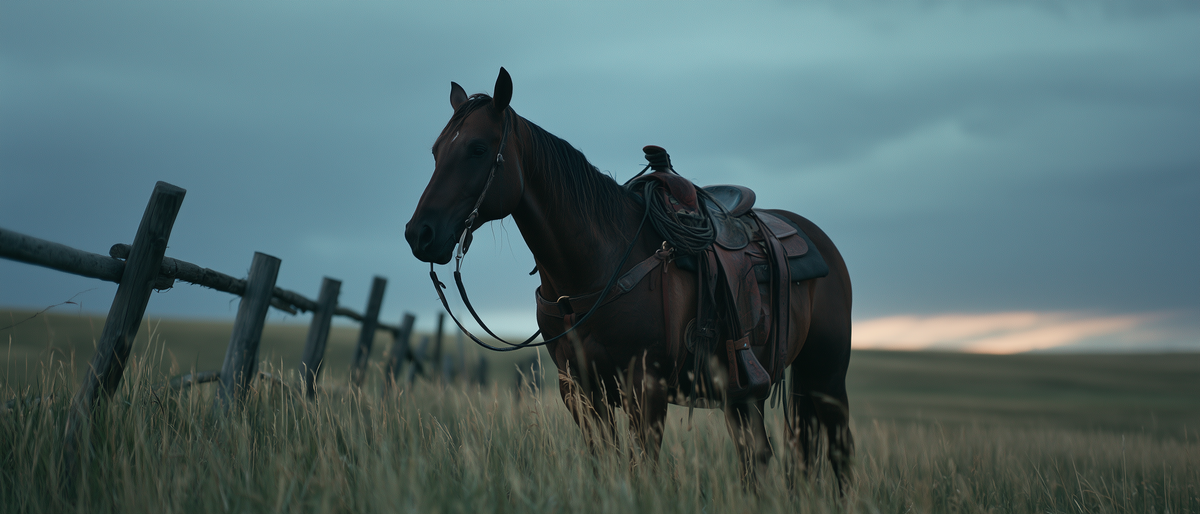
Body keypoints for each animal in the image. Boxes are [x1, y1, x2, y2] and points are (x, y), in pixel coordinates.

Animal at [405, 68, 854, 489]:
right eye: (436, 151)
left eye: (478, 149)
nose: (419, 234)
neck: (594, 269)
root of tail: (820, 240)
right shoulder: (580, 390)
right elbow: (605, 463)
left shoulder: (646, 387)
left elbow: (643, 469)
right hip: (745, 392)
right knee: (756, 456)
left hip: (827, 375)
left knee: (839, 452)